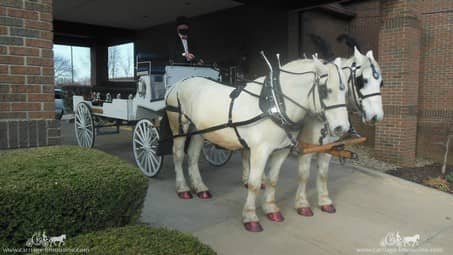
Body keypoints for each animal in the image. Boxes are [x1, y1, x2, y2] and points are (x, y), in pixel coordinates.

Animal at [166, 56, 350, 232]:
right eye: (325, 90)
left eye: (346, 90)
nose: (342, 127)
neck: (275, 106)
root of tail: (178, 84)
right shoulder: (260, 151)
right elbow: (254, 184)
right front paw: (250, 217)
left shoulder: (281, 150)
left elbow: (273, 180)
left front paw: (271, 209)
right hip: (179, 127)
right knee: (178, 155)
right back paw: (183, 189)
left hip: (198, 130)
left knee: (193, 157)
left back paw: (200, 188)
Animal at [242, 47, 384, 217]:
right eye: (362, 80)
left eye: (381, 83)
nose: (376, 116)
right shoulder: (307, 147)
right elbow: (304, 175)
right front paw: (302, 204)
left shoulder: (327, 147)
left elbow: (323, 174)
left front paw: (324, 201)